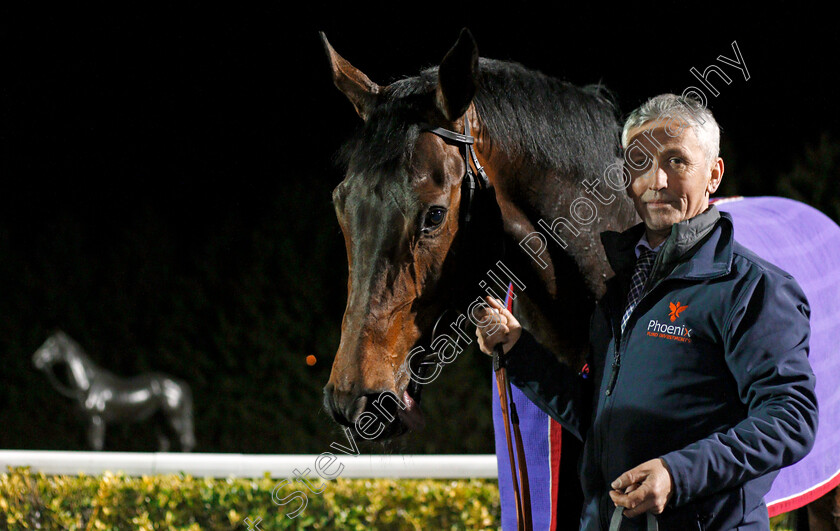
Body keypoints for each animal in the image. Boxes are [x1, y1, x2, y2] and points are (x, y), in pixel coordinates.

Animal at [32, 332, 195, 454]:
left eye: (52, 345)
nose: (36, 359)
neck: (87, 385)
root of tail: (179, 384)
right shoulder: (88, 423)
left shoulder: (97, 420)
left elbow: (96, 446)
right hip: (160, 421)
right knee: (165, 443)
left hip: (174, 418)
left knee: (185, 440)